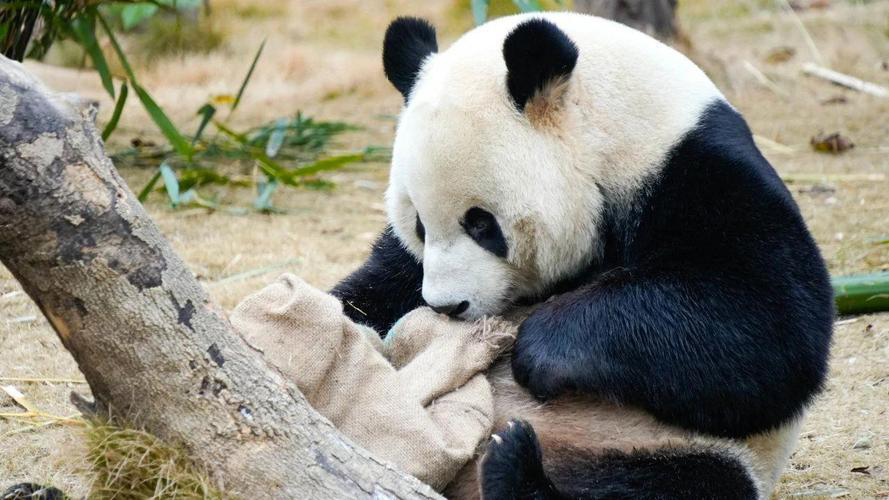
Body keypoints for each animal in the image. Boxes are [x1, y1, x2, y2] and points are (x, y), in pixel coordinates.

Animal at [332, 12, 834, 499]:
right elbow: (382, 280)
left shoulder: (695, 169)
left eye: (480, 224)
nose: (445, 305)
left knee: (675, 486)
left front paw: (541, 348)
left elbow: (769, 319)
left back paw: (517, 469)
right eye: (418, 223)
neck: (613, 126)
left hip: (679, 447)